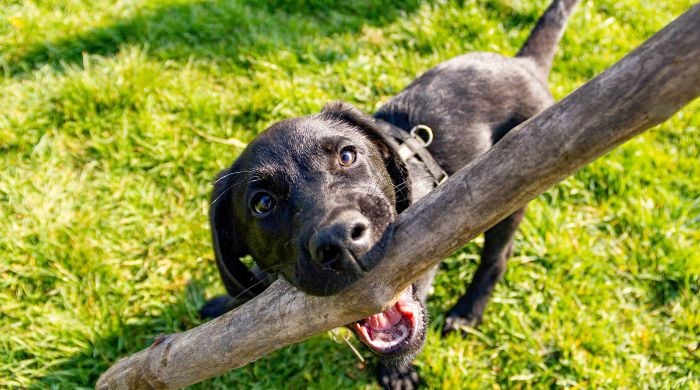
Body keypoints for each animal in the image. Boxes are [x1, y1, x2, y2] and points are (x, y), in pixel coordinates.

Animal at [201, 0, 580, 386]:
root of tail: (525, 64)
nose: (340, 240)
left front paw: (397, 372)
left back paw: (466, 311)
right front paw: (225, 303)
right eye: (262, 204)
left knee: (497, 256)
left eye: (348, 155)